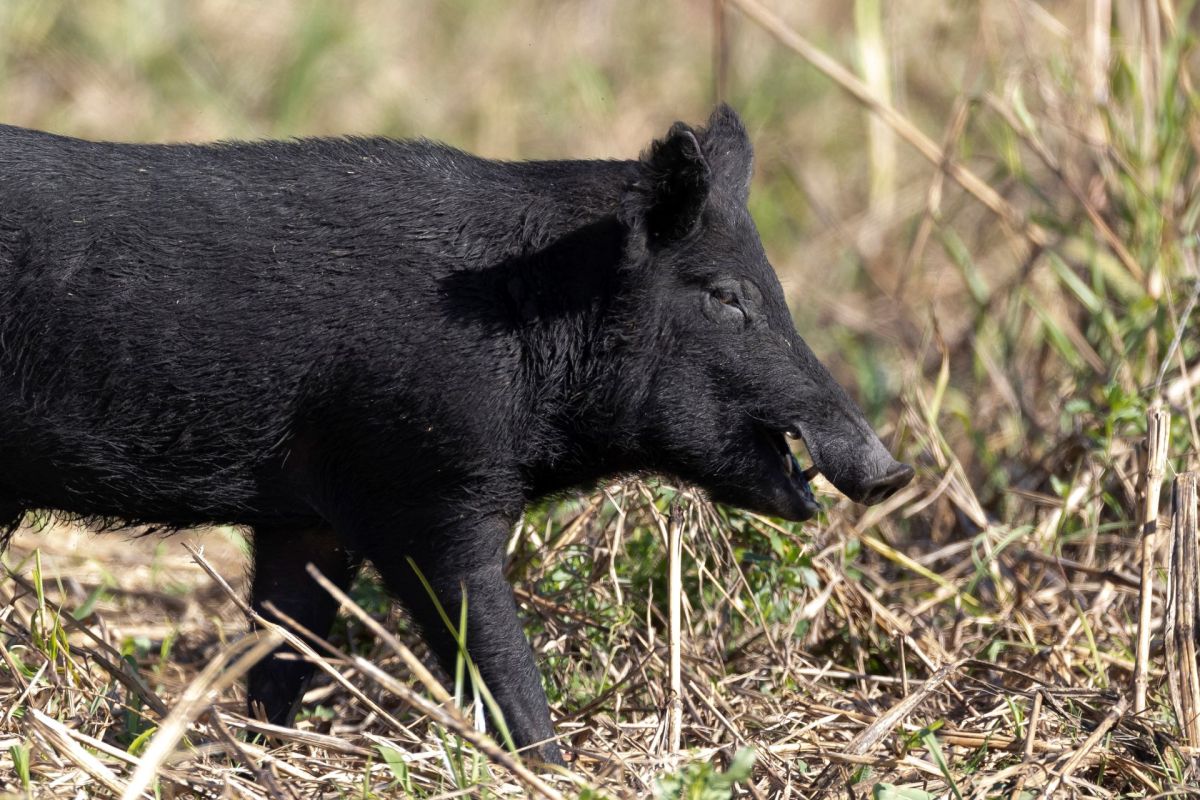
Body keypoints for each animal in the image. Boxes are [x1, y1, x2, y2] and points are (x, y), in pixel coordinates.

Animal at [0, 105, 912, 765]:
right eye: (726, 296)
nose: (892, 471)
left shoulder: (309, 519)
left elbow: (286, 644)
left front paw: (263, 755)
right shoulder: (428, 489)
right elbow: (490, 652)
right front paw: (553, 767)